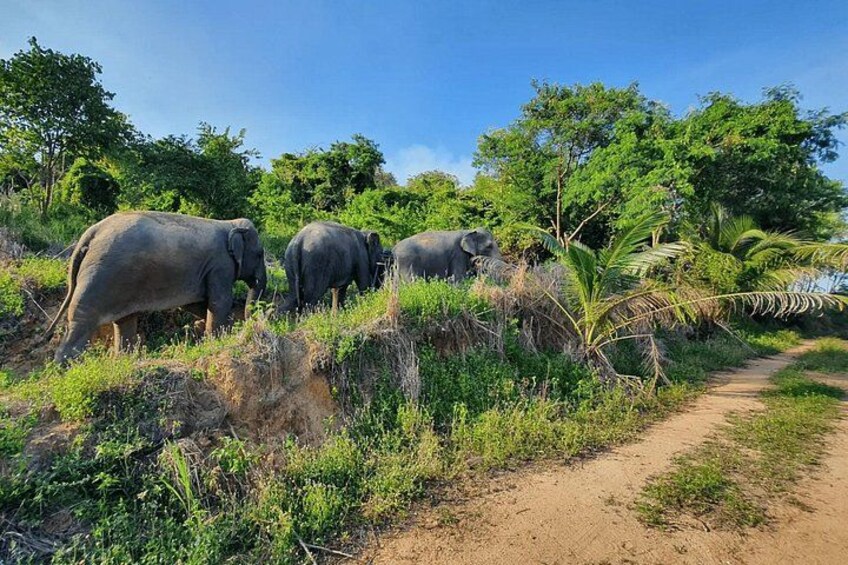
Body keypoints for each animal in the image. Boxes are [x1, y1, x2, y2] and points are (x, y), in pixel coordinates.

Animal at [47, 211, 267, 363]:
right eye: (260, 254)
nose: (249, 325)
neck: (230, 223)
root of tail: (91, 233)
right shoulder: (220, 265)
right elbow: (219, 302)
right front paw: (219, 337)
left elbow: (196, 303)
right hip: (100, 276)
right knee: (82, 318)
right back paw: (64, 368)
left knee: (124, 321)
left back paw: (123, 360)